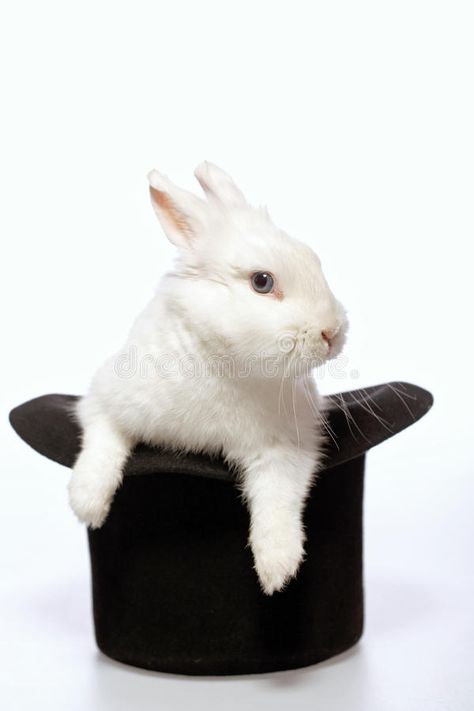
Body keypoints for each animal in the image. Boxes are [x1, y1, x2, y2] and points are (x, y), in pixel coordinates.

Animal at [68, 163, 346, 596]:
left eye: (314, 260)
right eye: (262, 281)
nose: (332, 332)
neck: (223, 360)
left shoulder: (287, 445)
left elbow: (278, 499)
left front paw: (277, 568)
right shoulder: (105, 399)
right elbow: (102, 442)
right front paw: (87, 504)